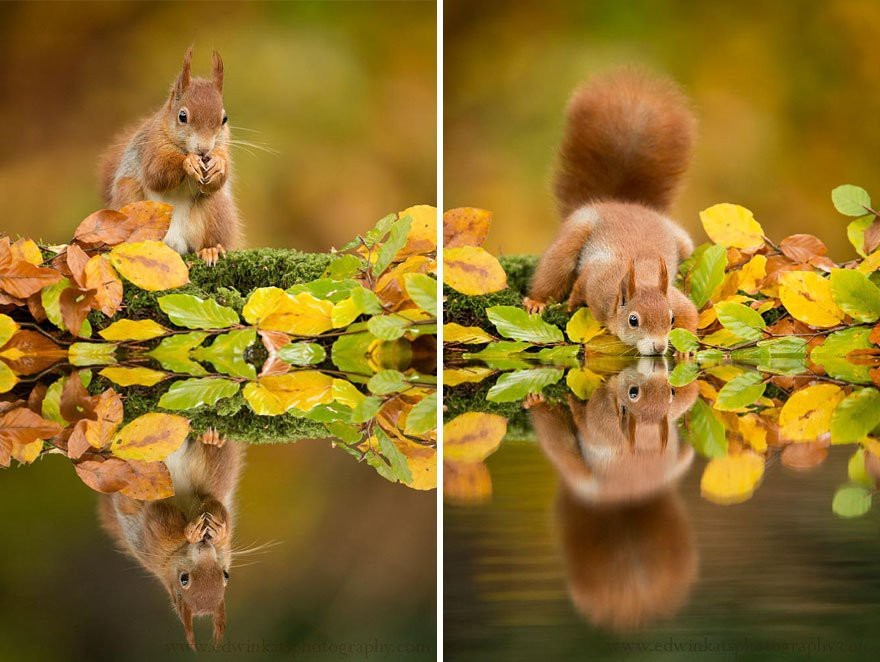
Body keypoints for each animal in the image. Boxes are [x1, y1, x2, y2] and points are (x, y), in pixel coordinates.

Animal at [99, 430, 244, 652]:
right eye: (184, 579)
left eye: (226, 576)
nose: (205, 546)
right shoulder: (156, 543)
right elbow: (161, 517)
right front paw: (190, 532)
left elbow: (216, 506)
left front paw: (219, 530)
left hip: (209, 469)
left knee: (215, 459)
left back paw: (212, 440)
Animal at [100, 47, 241, 268]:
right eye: (182, 116)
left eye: (224, 119)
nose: (204, 150)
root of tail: (174, 244)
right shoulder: (151, 147)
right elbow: (156, 174)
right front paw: (188, 162)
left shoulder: (222, 149)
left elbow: (217, 180)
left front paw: (218, 165)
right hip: (128, 196)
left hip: (216, 211)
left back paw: (210, 250)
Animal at [524, 70, 700, 356]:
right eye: (633, 320)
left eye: (671, 318)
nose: (659, 347)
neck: (641, 277)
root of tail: (618, 202)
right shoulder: (596, 283)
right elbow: (579, 286)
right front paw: (571, 305)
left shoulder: (674, 299)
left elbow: (692, 313)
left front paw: (686, 348)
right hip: (573, 236)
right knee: (554, 270)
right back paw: (537, 301)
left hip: (683, 242)